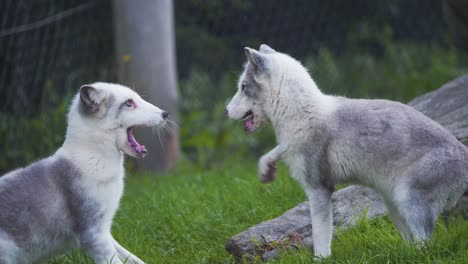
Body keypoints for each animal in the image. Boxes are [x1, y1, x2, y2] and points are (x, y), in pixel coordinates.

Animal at [224, 44, 468, 256]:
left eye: (243, 87)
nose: (225, 111)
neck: (302, 114)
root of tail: (464, 152)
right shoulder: (291, 149)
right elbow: (274, 152)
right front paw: (266, 169)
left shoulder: (319, 190)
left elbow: (320, 237)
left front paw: (320, 259)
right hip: (393, 204)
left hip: (409, 201)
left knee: (426, 246)